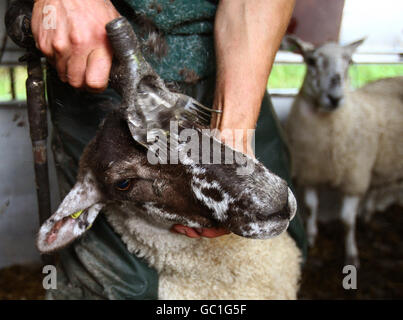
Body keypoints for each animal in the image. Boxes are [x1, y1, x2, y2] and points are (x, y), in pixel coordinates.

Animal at [284, 36, 403, 268]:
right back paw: (368, 214)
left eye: (349, 61)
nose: (334, 97)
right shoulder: (310, 173)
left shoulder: (354, 179)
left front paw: (351, 255)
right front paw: (311, 237)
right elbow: (311, 207)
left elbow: (347, 221)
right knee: (376, 187)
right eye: (311, 61)